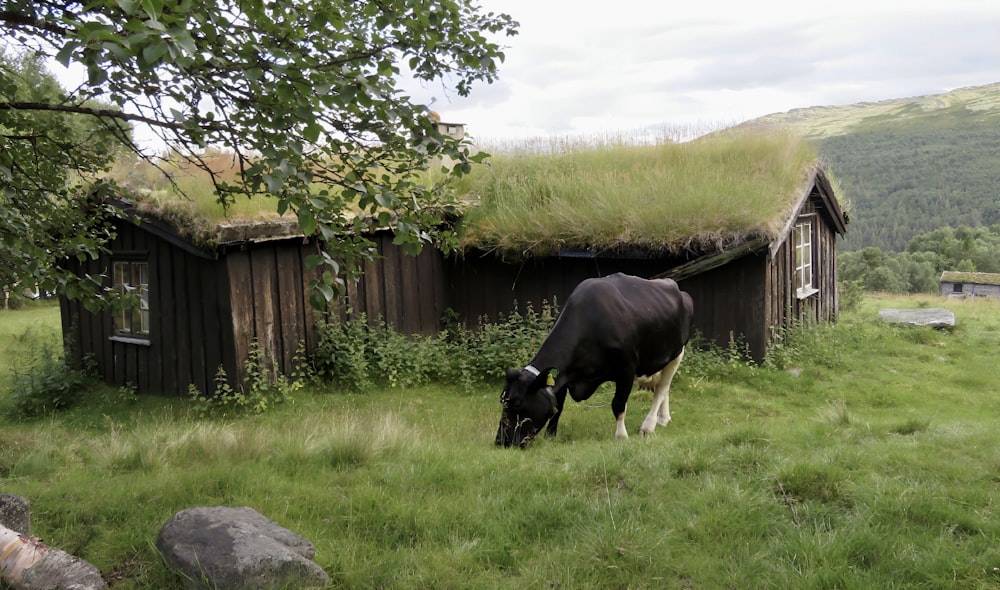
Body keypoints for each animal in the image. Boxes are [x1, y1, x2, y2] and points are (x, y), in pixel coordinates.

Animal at [494, 272, 696, 448]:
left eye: (517, 403)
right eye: (503, 401)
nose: (500, 442)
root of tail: (676, 288)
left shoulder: (626, 369)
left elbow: (618, 404)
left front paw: (621, 436)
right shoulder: (564, 374)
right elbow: (558, 406)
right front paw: (551, 436)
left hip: (677, 353)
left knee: (662, 388)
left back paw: (649, 425)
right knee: (663, 386)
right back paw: (663, 419)